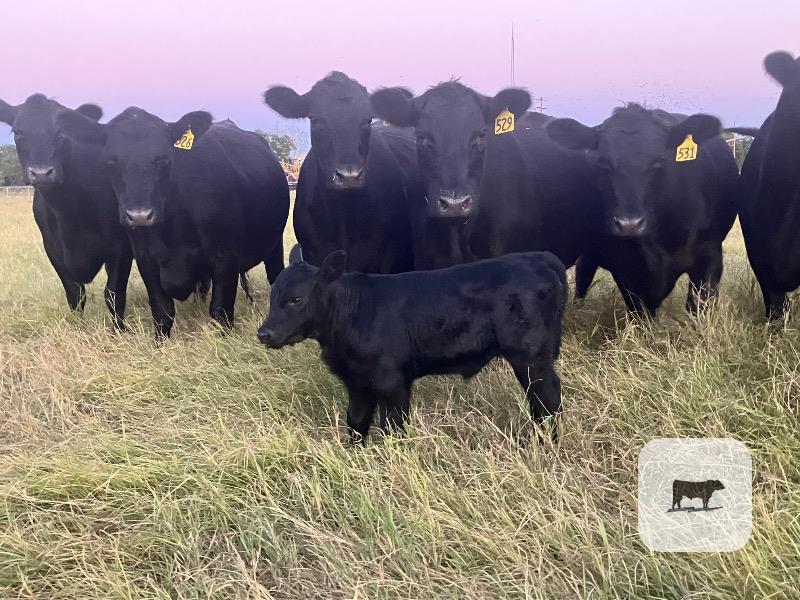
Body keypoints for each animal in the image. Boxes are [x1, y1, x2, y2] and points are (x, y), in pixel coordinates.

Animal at [0, 94, 133, 328]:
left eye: (61, 132)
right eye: (17, 132)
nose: (41, 173)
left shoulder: (121, 244)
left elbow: (114, 293)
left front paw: (119, 329)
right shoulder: (52, 248)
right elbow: (75, 293)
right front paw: (79, 327)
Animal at [57, 107, 289, 339]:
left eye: (163, 160)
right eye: (111, 163)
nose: (140, 215)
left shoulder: (226, 257)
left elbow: (220, 310)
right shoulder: (146, 259)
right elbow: (162, 310)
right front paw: (160, 343)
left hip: (274, 244)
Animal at [257, 247, 567, 444]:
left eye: (297, 299)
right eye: (273, 296)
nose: (264, 334)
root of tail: (541, 257)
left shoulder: (393, 382)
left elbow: (393, 427)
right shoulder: (357, 383)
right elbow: (356, 422)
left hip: (530, 356)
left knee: (547, 397)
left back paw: (545, 443)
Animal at [546, 104, 738, 315]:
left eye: (658, 161)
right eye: (603, 162)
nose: (629, 224)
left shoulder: (709, 257)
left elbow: (699, 307)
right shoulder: (625, 267)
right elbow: (639, 312)